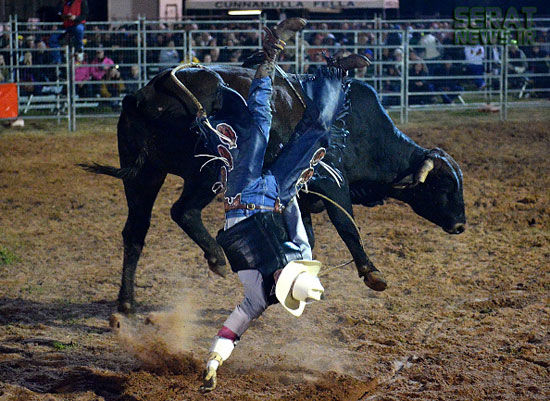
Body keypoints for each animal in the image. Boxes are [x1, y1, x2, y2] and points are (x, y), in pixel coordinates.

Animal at [81, 66, 466, 312]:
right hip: (209, 169)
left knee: (135, 231)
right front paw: (373, 273)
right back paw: (216, 258)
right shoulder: (332, 183)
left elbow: (306, 240)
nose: (461, 225)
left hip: (144, 175)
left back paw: (126, 302)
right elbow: (348, 227)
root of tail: (152, 91)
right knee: (183, 211)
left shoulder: (303, 198)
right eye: (444, 184)